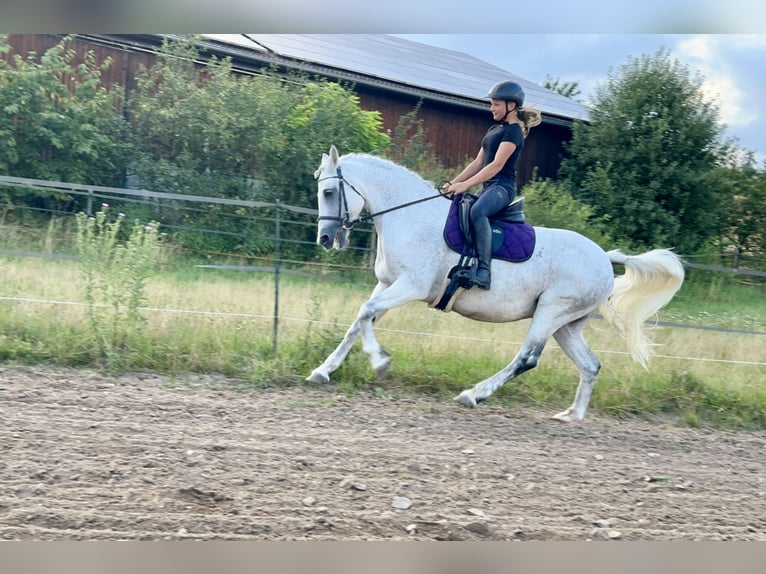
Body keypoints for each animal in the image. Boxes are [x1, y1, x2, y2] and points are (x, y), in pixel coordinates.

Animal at [308, 145, 688, 424]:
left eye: (329, 191)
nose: (325, 239)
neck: (410, 216)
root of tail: (605, 260)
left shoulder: (410, 286)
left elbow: (365, 312)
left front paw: (380, 362)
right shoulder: (386, 284)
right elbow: (359, 321)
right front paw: (323, 371)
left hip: (551, 312)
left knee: (527, 358)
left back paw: (473, 395)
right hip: (567, 325)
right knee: (590, 365)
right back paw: (571, 415)